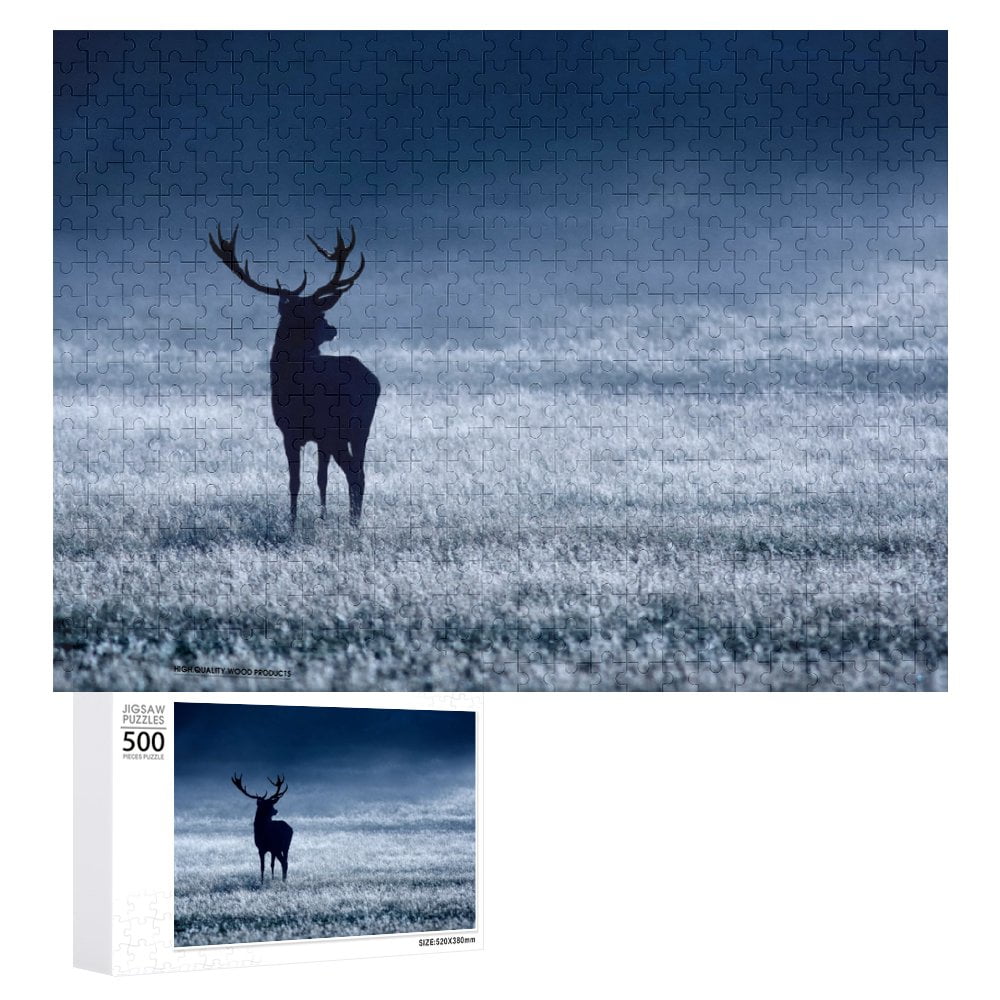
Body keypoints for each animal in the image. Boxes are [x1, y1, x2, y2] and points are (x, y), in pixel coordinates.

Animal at [209, 224, 380, 527]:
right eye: (313, 314)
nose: (332, 329)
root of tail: (372, 382)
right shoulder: (309, 436)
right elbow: (320, 479)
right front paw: (321, 516)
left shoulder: (290, 431)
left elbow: (295, 482)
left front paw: (292, 523)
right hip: (361, 428)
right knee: (360, 471)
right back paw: (354, 519)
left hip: (335, 428)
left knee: (354, 473)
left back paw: (353, 523)